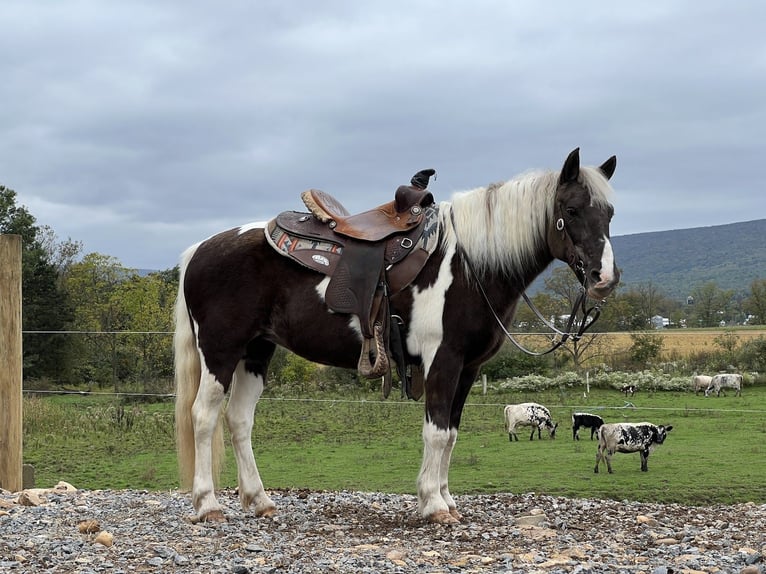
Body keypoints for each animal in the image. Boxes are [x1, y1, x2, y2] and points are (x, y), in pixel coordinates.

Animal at [176, 148, 624, 528]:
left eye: (610, 213)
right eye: (571, 209)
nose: (604, 278)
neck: (469, 266)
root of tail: (200, 248)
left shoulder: (468, 368)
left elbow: (451, 434)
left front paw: (447, 500)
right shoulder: (442, 360)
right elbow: (436, 432)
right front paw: (434, 504)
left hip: (256, 351)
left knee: (239, 419)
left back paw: (260, 501)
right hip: (220, 350)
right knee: (204, 416)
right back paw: (208, 505)